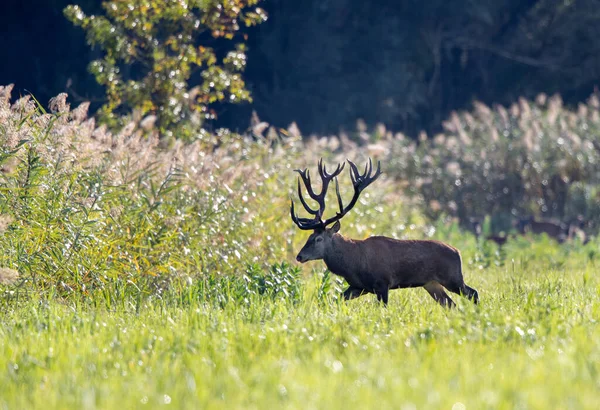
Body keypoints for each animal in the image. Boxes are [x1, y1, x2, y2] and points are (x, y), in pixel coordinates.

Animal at [290, 159, 478, 306]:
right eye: (309, 236)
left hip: (452, 278)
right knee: (451, 304)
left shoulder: (382, 283)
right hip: (432, 284)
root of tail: (458, 252)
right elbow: (336, 299)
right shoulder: (358, 286)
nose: (299, 256)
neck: (354, 263)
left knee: (473, 293)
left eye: (318, 239)